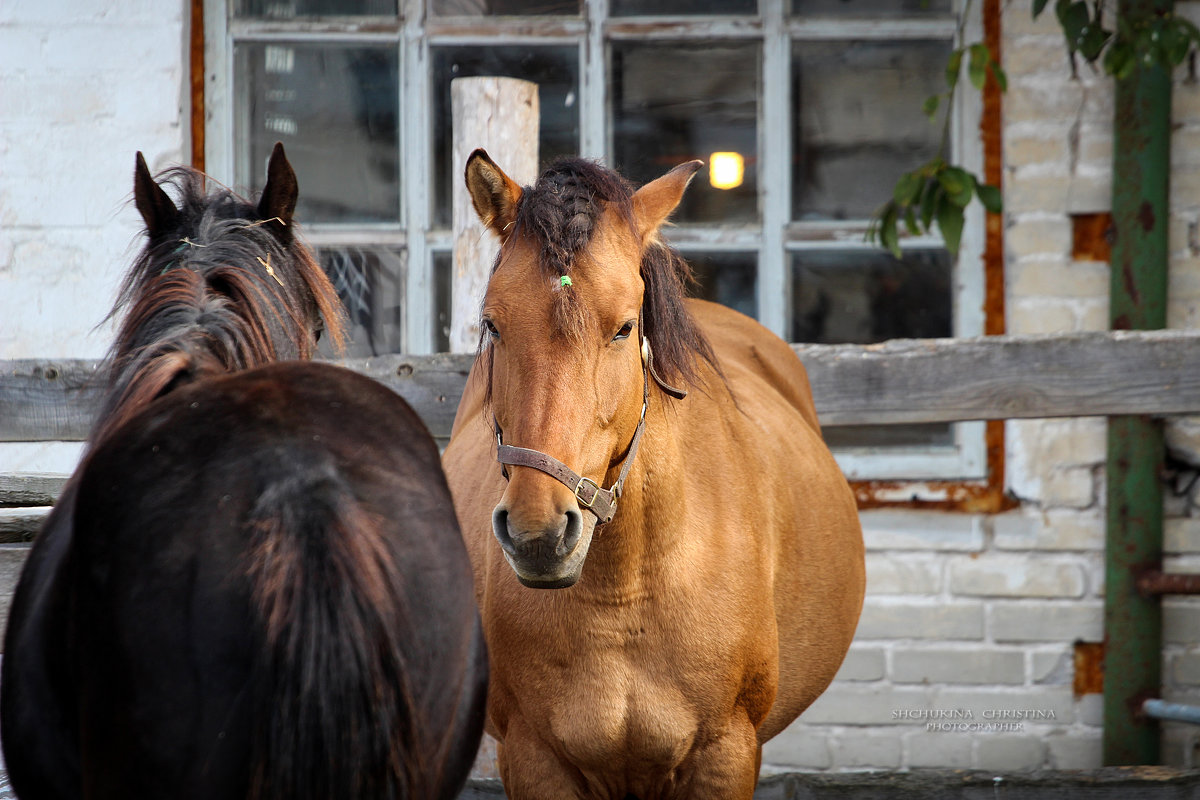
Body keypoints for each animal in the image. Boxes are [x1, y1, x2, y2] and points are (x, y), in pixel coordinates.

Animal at [441, 151, 864, 800]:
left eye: (623, 327)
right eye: (492, 325)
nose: (538, 535)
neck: (624, 593)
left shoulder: (725, 754)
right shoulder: (535, 758)